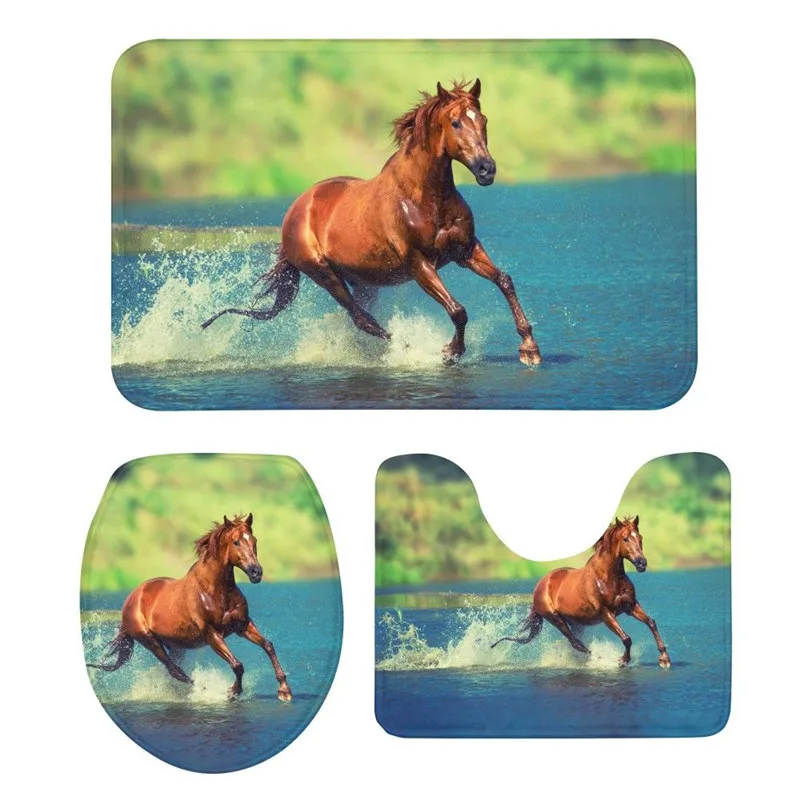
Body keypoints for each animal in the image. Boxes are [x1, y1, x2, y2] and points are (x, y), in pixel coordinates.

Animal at [86, 513, 293, 701]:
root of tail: (132, 598)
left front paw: (284, 690)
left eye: (254, 540)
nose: (256, 573)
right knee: (175, 670)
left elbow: (268, 645)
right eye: (236, 542)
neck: (214, 591)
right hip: (149, 640)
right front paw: (233, 691)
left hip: (176, 646)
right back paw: (202, 689)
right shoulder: (212, 634)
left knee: (174, 669)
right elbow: (237, 665)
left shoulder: (242, 625)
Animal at [201, 78, 542, 367]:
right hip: (324, 274)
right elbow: (458, 310)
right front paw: (450, 352)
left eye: (483, 121)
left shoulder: (465, 250)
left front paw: (529, 349)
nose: (487, 169)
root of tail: (295, 211)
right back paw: (405, 348)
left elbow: (504, 281)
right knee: (362, 318)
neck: (424, 198)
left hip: (363, 280)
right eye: (456, 122)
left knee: (361, 317)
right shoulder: (419, 264)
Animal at [491, 516, 672, 668]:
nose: (642, 564)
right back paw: (598, 659)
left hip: (576, 622)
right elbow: (627, 638)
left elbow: (651, 622)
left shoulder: (630, 605)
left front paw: (664, 659)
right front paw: (622, 660)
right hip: (556, 619)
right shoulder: (606, 614)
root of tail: (540, 585)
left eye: (640, 538)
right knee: (575, 643)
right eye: (625, 538)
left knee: (575, 642)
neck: (608, 578)